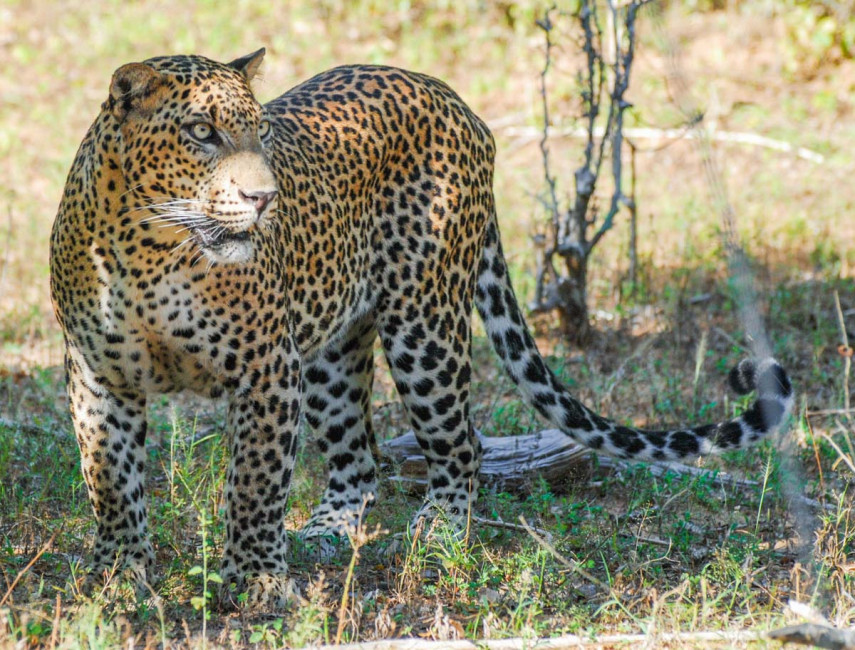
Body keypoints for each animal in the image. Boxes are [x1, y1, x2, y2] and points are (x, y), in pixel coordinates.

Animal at [48, 49, 796, 608]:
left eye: (258, 132)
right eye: (201, 132)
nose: (265, 199)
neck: (151, 248)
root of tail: (453, 99)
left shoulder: (264, 371)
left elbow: (254, 486)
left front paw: (257, 582)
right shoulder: (97, 375)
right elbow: (111, 483)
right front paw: (117, 576)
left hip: (424, 326)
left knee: (461, 443)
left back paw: (438, 533)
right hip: (331, 352)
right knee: (358, 457)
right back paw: (326, 530)